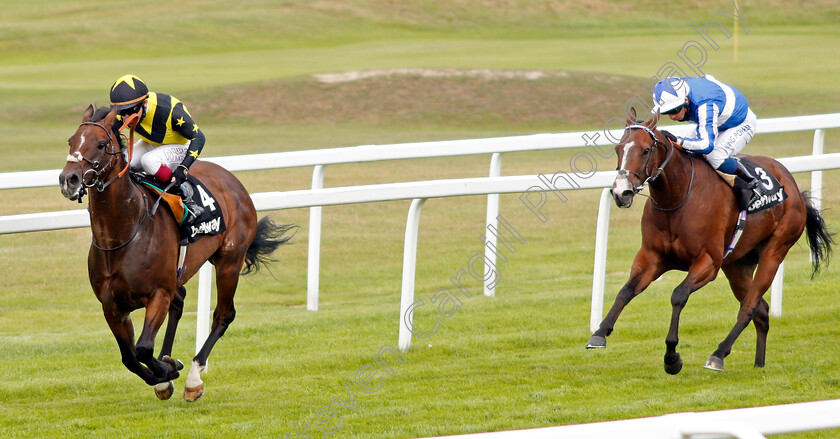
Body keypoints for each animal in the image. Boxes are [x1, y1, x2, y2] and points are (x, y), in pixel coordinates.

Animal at [59, 105, 296, 400]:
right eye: (71, 141)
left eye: (101, 144)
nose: (68, 179)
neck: (121, 235)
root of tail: (230, 179)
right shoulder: (112, 306)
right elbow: (129, 356)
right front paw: (163, 374)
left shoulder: (158, 294)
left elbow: (143, 348)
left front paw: (168, 370)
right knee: (180, 300)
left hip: (230, 261)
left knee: (223, 315)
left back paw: (194, 378)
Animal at [584, 108, 832, 372]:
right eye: (618, 149)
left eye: (645, 150)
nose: (621, 192)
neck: (678, 198)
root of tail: (793, 185)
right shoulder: (652, 256)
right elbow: (626, 290)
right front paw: (599, 333)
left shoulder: (708, 262)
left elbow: (678, 295)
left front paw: (672, 357)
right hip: (737, 265)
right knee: (762, 310)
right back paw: (759, 364)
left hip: (775, 250)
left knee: (749, 307)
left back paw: (718, 355)